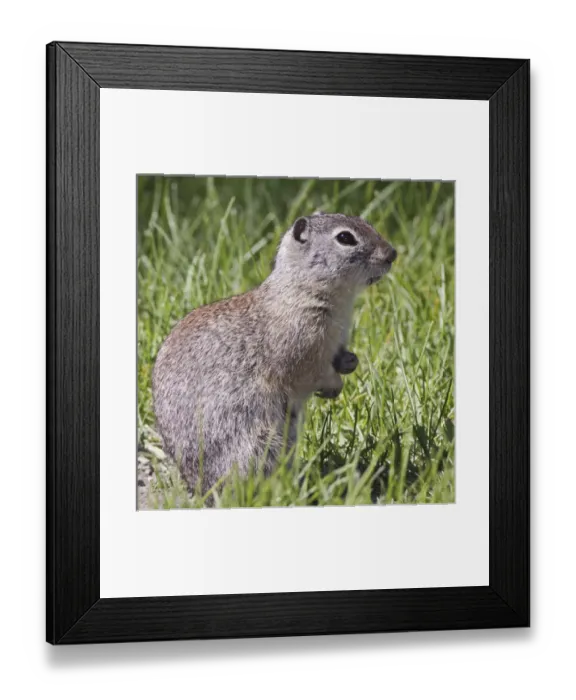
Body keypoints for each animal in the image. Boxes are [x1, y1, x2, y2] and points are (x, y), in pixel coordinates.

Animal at [152, 212, 397, 494]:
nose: (392, 253)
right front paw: (334, 386)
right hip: (258, 442)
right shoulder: (302, 351)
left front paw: (350, 362)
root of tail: (199, 486)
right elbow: (314, 373)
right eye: (345, 237)